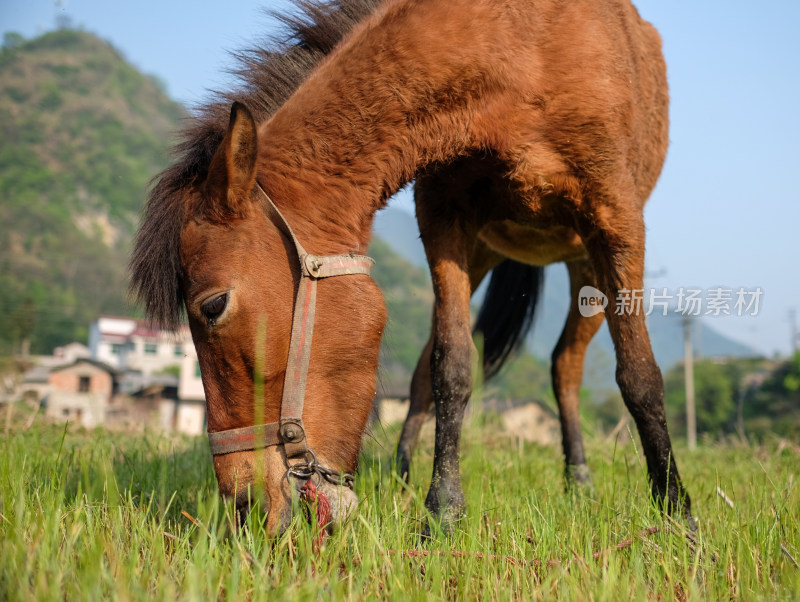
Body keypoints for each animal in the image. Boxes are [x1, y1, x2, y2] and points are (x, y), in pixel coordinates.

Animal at [131, 0, 692, 532]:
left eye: (214, 306)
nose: (244, 508)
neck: (521, 46)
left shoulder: (616, 219)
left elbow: (640, 375)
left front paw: (676, 509)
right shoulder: (444, 219)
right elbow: (451, 366)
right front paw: (441, 509)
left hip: (585, 266)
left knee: (566, 366)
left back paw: (579, 478)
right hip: (485, 253)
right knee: (433, 364)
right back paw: (403, 474)